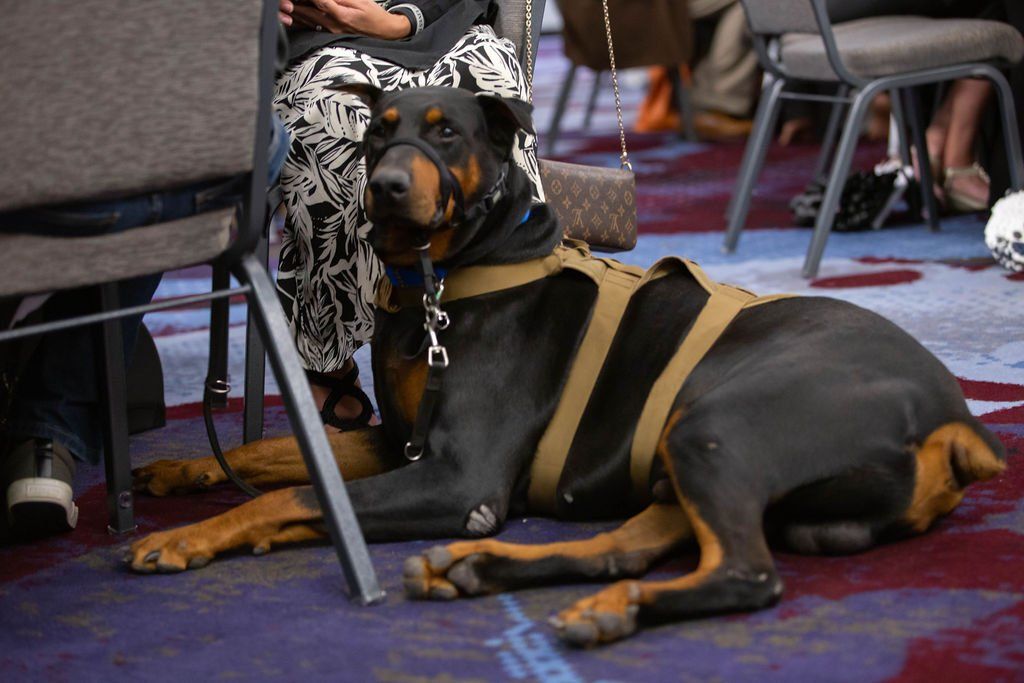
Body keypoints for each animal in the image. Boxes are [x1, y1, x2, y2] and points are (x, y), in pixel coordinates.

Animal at [128, 86, 1006, 647]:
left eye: (447, 134)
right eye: (378, 132)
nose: (388, 186)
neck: (437, 282)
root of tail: (958, 422)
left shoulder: (463, 477)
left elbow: (295, 493)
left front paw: (185, 536)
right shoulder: (403, 440)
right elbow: (267, 455)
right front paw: (176, 473)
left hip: (719, 420)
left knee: (748, 572)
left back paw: (593, 606)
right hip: (691, 451)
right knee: (634, 542)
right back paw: (488, 570)